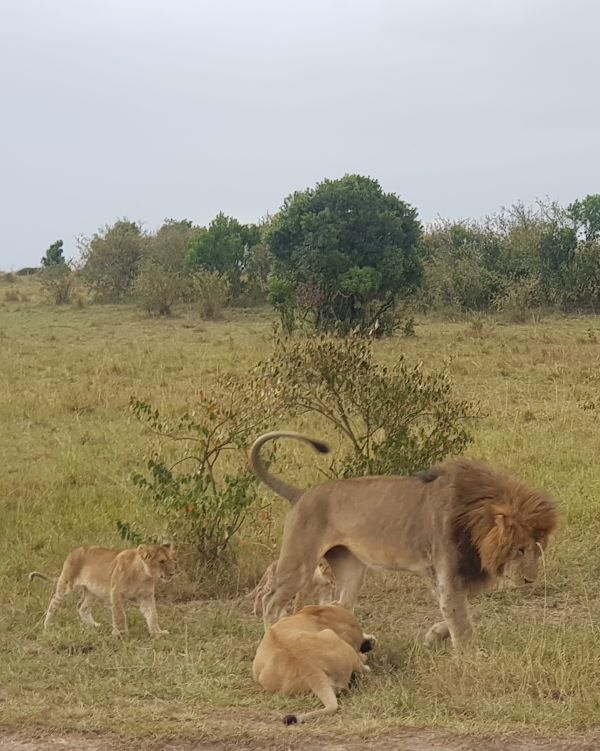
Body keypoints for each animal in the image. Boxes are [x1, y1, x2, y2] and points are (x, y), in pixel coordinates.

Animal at [28, 544, 178, 636]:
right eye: (161, 561)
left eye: (171, 559)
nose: (172, 573)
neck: (143, 575)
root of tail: (73, 551)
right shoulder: (116, 592)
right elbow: (119, 614)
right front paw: (121, 633)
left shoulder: (146, 596)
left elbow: (152, 614)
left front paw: (157, 633)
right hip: (66, 583)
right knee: (54, 602)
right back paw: (47, 626)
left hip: (92, 591)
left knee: (82, 607)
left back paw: (94, 626)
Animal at [248, 432, 556, 648]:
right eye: (519, 550)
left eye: (537, 549)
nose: (530, 580)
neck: (472, 514)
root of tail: (301, 494)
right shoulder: (446, 567)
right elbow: (459, 616)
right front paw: (470, 654)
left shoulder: (438, 571)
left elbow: (450, 609)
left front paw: (435, 636)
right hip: (300, 561)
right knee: (271, 601)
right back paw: (274, 638)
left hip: (351, 568)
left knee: (339, 605)